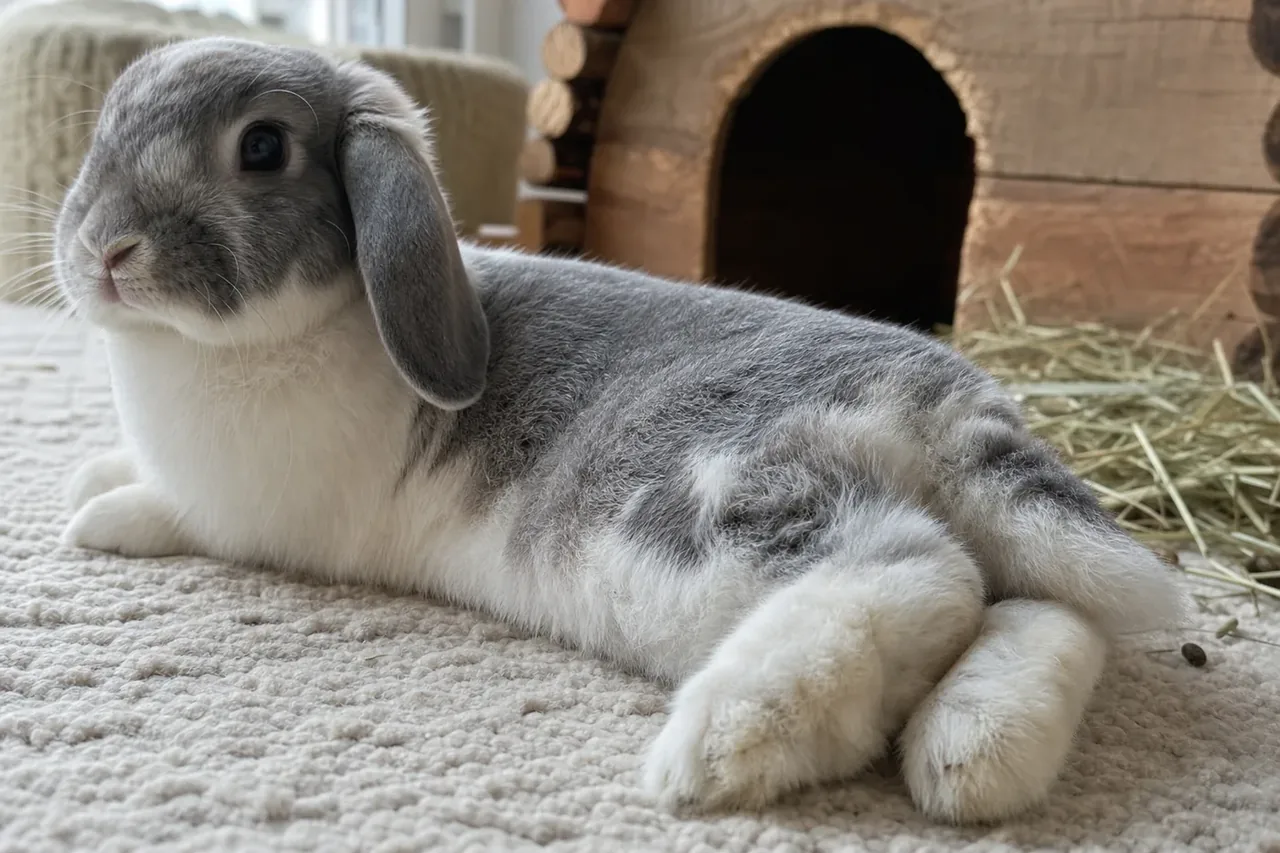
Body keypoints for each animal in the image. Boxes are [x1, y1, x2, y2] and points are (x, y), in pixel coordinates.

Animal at [53, 36, 1186, 824]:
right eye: (102, 124)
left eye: (261, 147)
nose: (104, 250)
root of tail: (942, 405)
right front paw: (91, 472)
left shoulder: (249, 518)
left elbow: (176, 516)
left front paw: (97, 519)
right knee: (1047, 607)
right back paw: (976, 755)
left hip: (697, 504)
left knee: (920, 571)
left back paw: (727, 743)